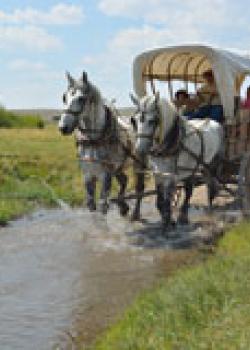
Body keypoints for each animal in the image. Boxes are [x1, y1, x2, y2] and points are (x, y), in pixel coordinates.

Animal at [58, 71, 145, 219]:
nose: (63, 127)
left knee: (140, 188)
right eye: (64, 97)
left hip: (138, 164)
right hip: (118, 167)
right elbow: (91, 204)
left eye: (81, 98)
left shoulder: (106, 175)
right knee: (124, 180)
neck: (93, 139)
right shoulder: (87, 174)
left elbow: (103, 204)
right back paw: (123, 206)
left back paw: (135, 213)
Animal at [130, 93, 224, 230]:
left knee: (207, 185)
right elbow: (160, 201)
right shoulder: (158, 173)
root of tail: (213, 121)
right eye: (134, 121)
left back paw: (200, 211)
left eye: (152, 121)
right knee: (194, 187)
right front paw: (167, 220)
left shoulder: (171, 175)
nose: (139, 150)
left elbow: (167, 200)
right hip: (196, 166)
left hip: (212, 163)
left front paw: (169, 222)